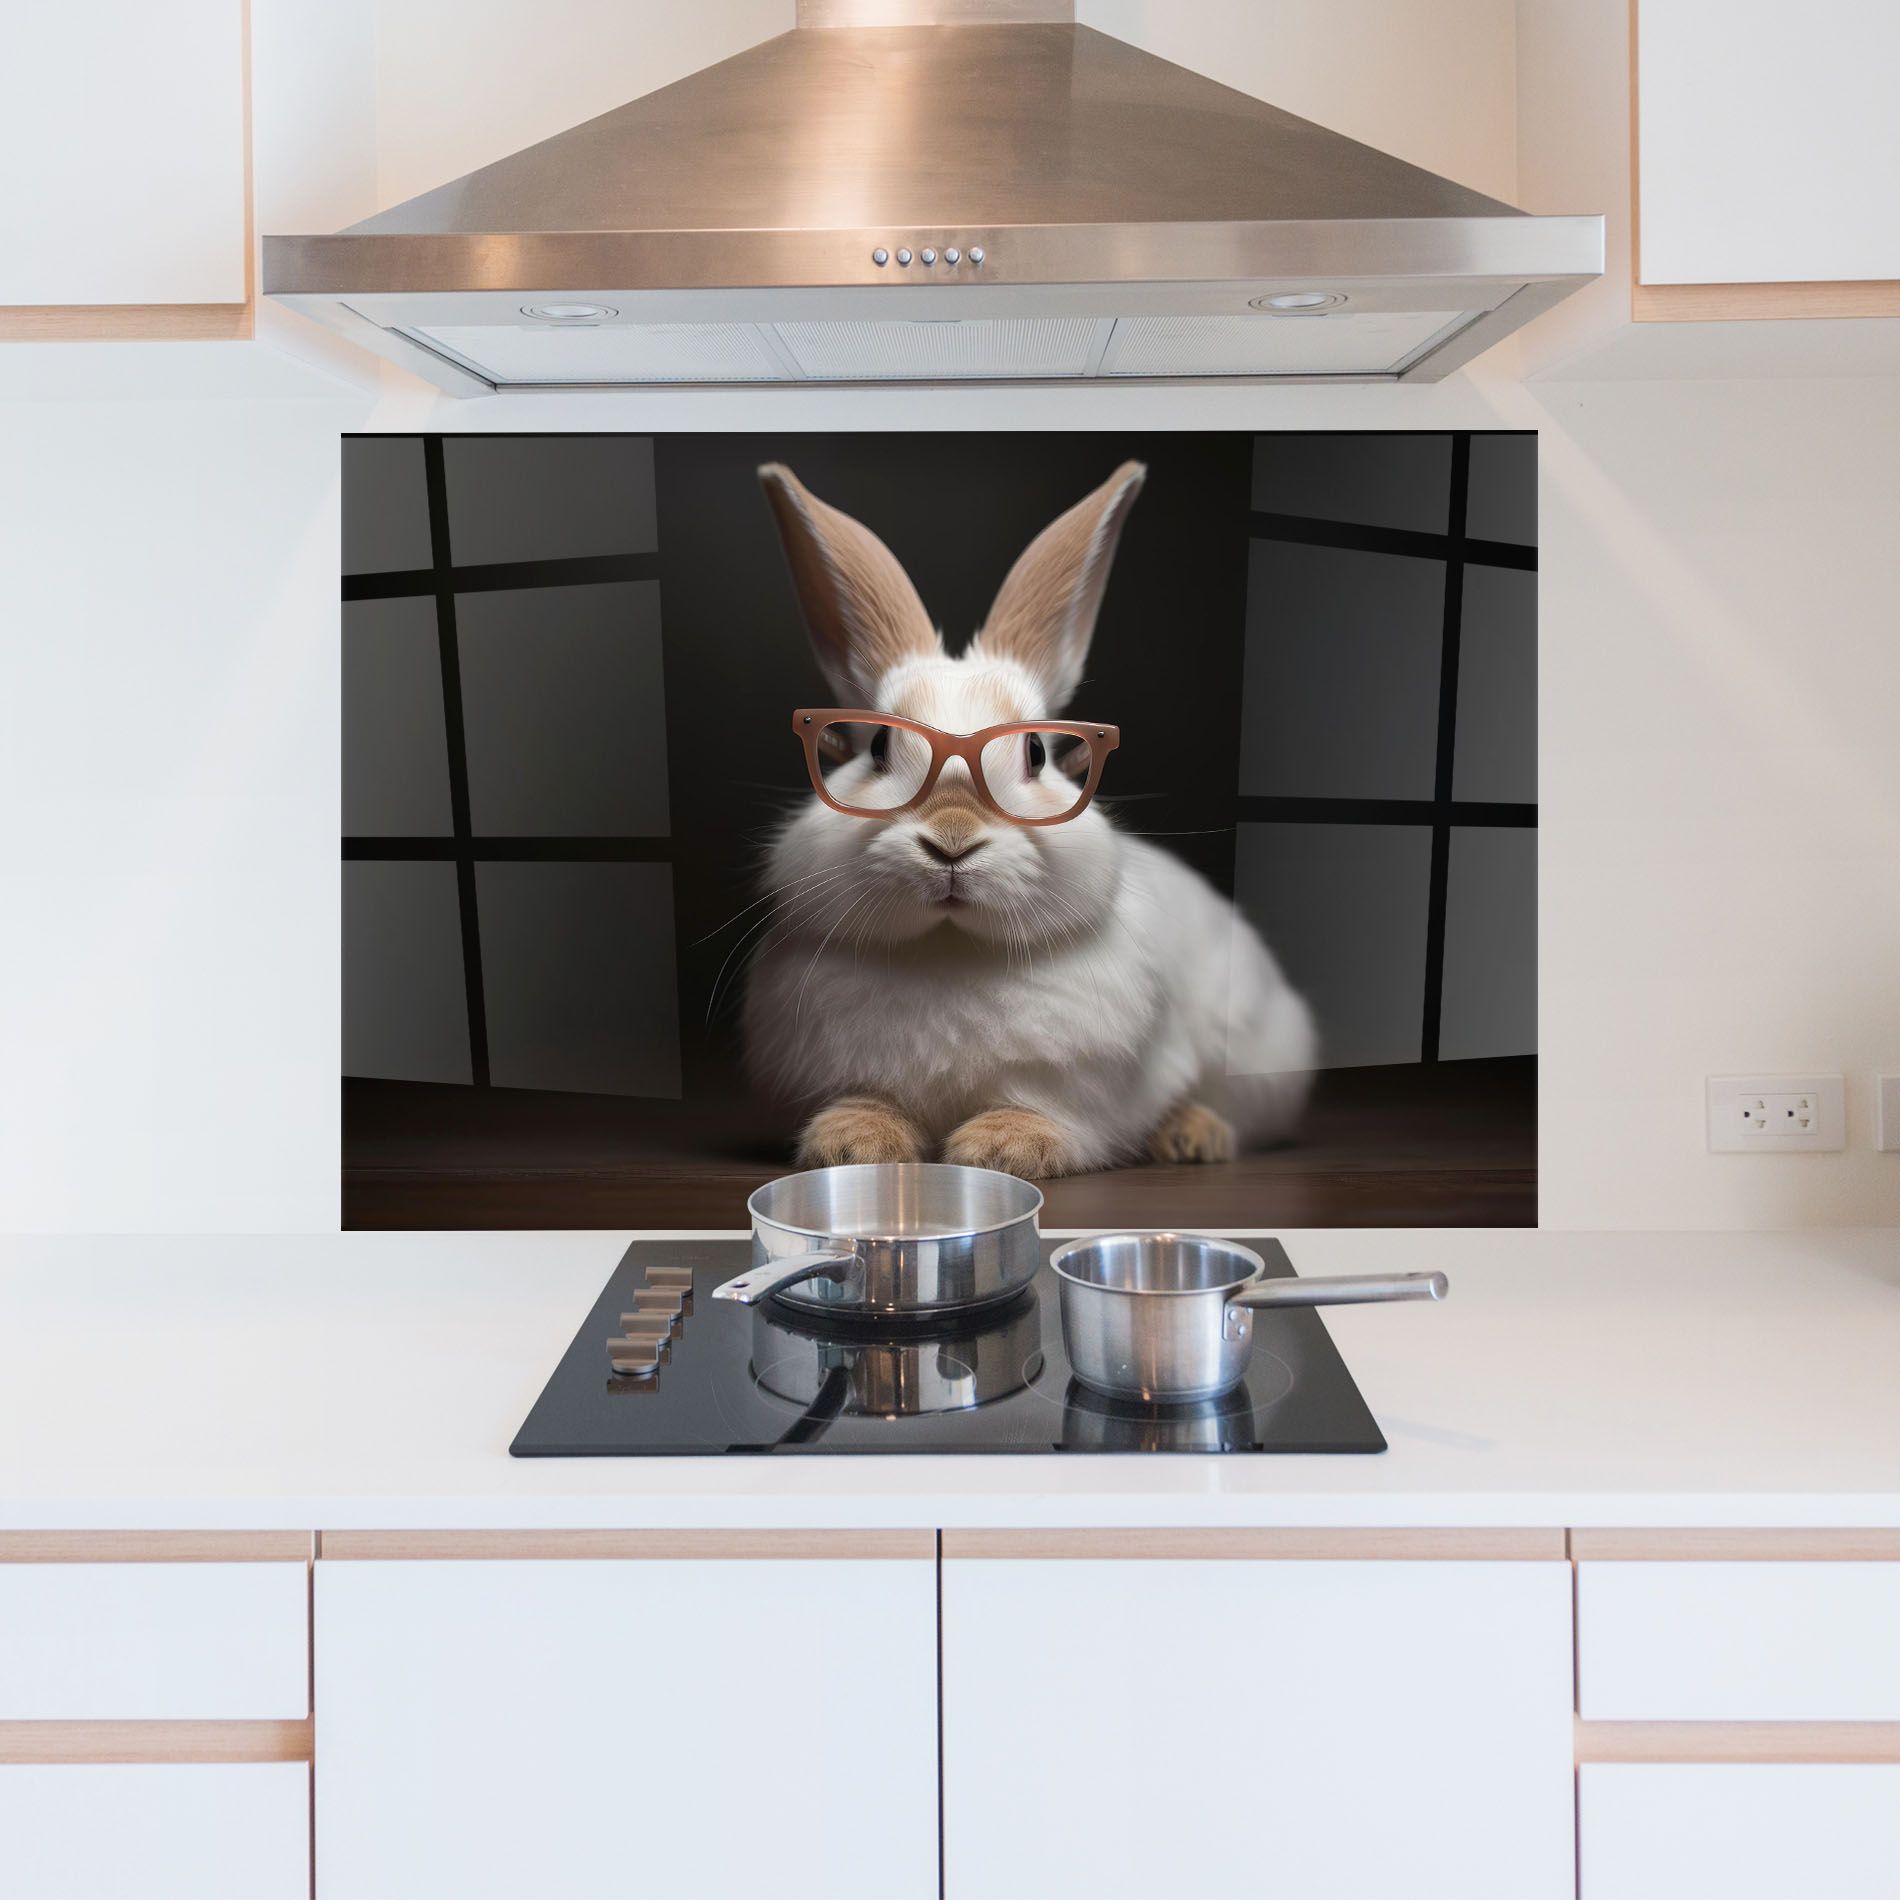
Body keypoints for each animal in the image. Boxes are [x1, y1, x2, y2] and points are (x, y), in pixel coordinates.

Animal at [741, 458, 1317, 1180]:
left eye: (1037, 754)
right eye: (877, 749)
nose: (952, 841)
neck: (951, 949)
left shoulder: (1086, 1088)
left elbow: (1049, 1113)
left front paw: (1002, 1148)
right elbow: (868, 1101)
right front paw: (851, 1144)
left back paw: (1191, 1136)